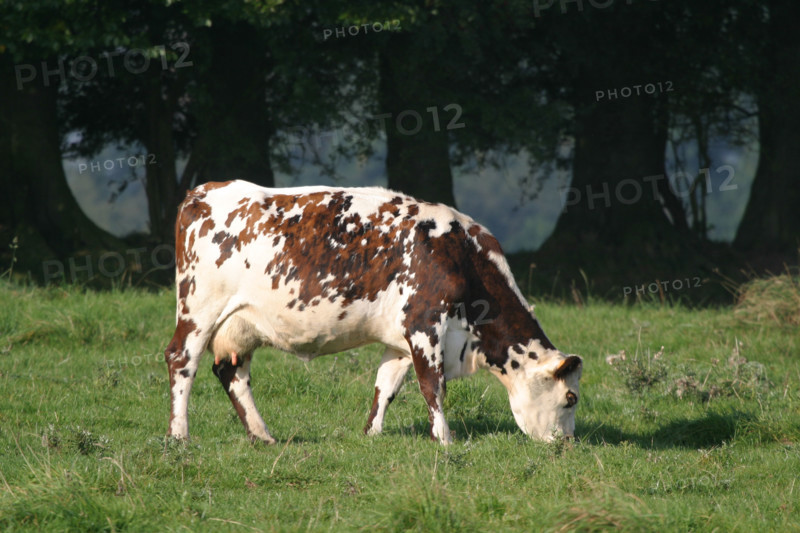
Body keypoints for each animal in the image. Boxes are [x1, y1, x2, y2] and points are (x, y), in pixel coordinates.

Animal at [164, 180, 582, 445]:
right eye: (570, 398)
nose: (567, 443)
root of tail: (202, 191)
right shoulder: (425, 322)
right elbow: (433, 385)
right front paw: (445, 439)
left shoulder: (401, 338)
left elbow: (386, 385)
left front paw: (372, 435)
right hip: (199, 308)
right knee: (182, 360)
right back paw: (179, 435)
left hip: (240, 324)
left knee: (231, 371)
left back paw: (262, 435)